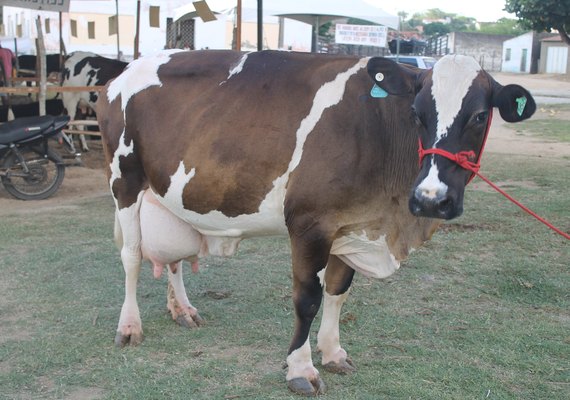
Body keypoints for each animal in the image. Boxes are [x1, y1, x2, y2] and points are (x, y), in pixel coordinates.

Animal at [95, 50, 536, 396]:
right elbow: (307, 299)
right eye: (416, 113)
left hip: (172, 195)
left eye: (479, 116)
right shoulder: (310, 224)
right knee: (131, 256)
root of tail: (124, 70)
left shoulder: (350, 224)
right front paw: (301, 369)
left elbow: (339, 291)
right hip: (124, 181)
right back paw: (130, 326)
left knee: (174, 259)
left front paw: (333, 351)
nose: (431, 199)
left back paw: (182, 309)